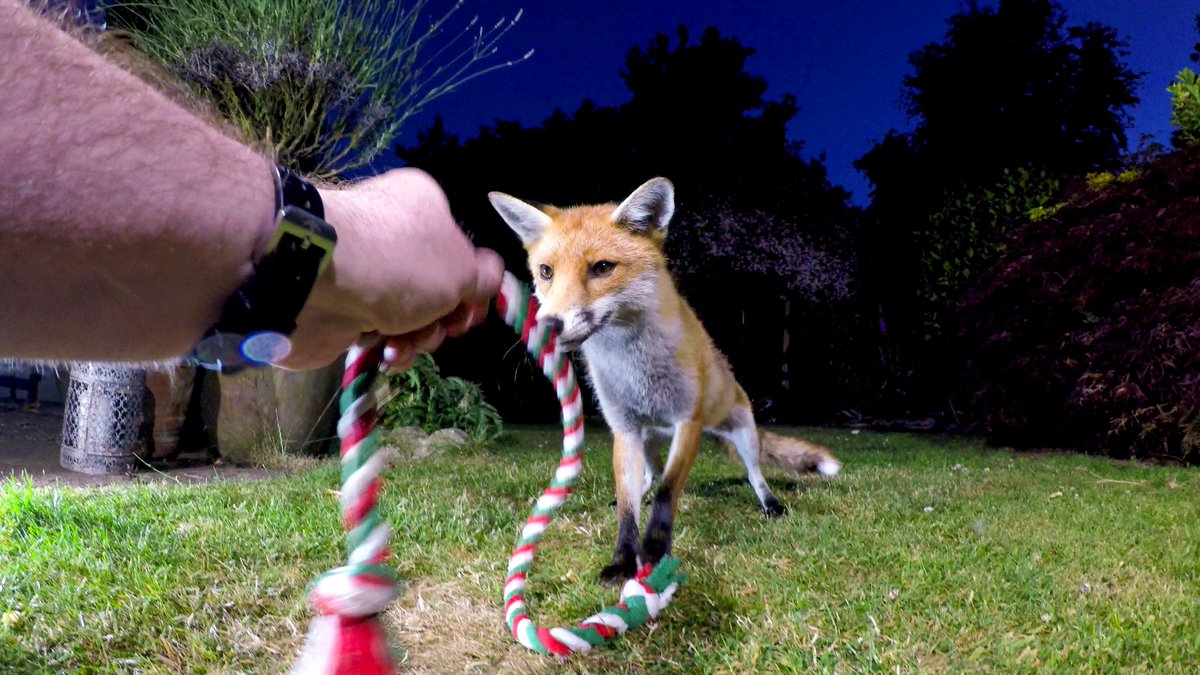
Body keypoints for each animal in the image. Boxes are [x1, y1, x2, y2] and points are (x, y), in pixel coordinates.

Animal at [489, 178, 841, 585]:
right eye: (546, 272)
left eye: (602, 268)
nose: (547, 325)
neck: (633, 367)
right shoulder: (624, 428)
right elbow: (629, 508)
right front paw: (623, 559)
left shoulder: (688, 421)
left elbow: (668, 493)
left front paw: (655, 551)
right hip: (648, 442)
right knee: (649, 476)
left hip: (743, 435)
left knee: (754, 474)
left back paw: (770, 504)